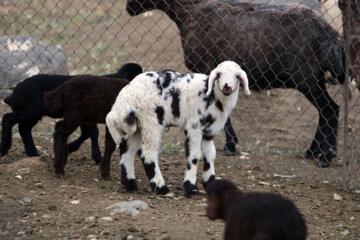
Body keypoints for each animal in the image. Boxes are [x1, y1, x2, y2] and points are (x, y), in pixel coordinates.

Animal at [105, 61, 249, 197]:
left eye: (237, 76)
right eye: (219, 75)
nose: (226, 87)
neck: (212, 95)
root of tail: (126, 97)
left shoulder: (208, 131)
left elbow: (210, 155)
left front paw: (210, 183)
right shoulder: (194, 126)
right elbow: (194, 155)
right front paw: (191, 188)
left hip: (138, 126)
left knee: (128, 151)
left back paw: (131, 185)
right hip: (151, 121)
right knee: (147, 153)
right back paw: (161, 188)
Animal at [126, 0, 346, 167]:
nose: (128, 7)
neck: (189, 12)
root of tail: (329, 34)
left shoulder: (207, 68)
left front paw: (228, 144)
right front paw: (229, 144)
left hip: (306, 78)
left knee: (330, 109)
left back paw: (326, 157)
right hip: (314, 78)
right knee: (325, 111)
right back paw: (313, 152)